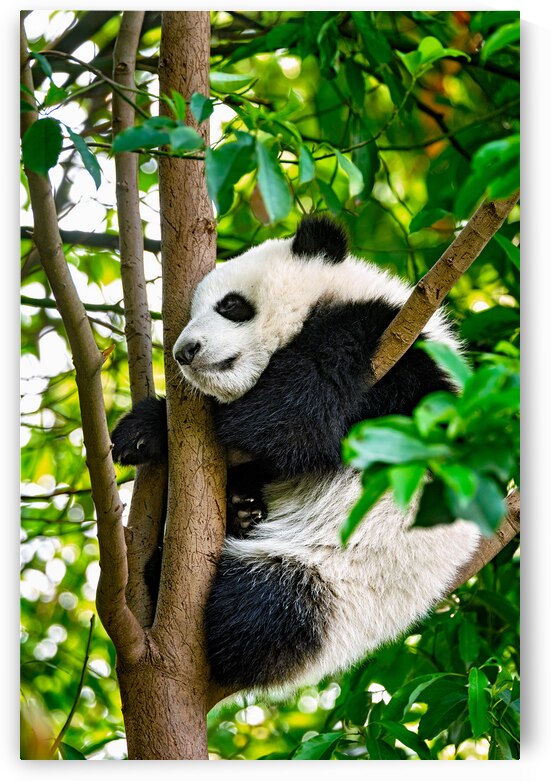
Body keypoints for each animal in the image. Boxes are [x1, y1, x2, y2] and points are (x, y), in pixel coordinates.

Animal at [111, 215, 480, 694]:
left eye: (232, 306)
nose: (184, 352)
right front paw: (138, 433)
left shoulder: (395, 351)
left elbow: (294, 420)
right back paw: (240, 511)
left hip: (333, 585)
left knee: (263, 610)